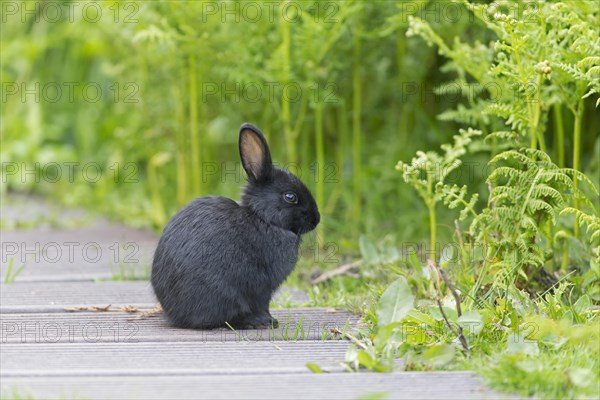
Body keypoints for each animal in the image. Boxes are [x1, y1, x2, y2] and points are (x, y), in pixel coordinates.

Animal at [151, 122, 318, 328]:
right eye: (290, 197)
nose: (316, 219)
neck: (262, 217)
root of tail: (176, 315)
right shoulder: (263, 287)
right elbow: (262, 303)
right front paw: (270, 321)